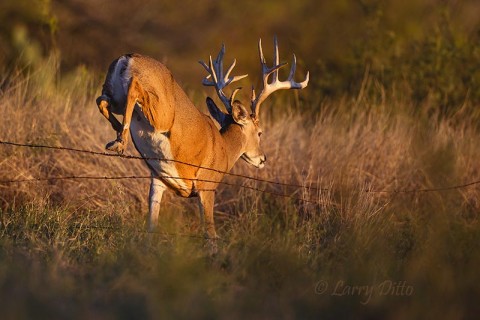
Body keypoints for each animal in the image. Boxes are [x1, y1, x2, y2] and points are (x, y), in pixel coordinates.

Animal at [95, 36, 310, 244]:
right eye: (260, 132)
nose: (263, 158)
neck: (223, 149)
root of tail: (128, 57)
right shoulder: (207, 185)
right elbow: (210, 235)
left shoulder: (158, 180)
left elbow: (151, 228)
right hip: (162, 113)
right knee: (133, 90)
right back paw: (120, 141)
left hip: (115, 95)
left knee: (102, 99)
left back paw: (116, 134)